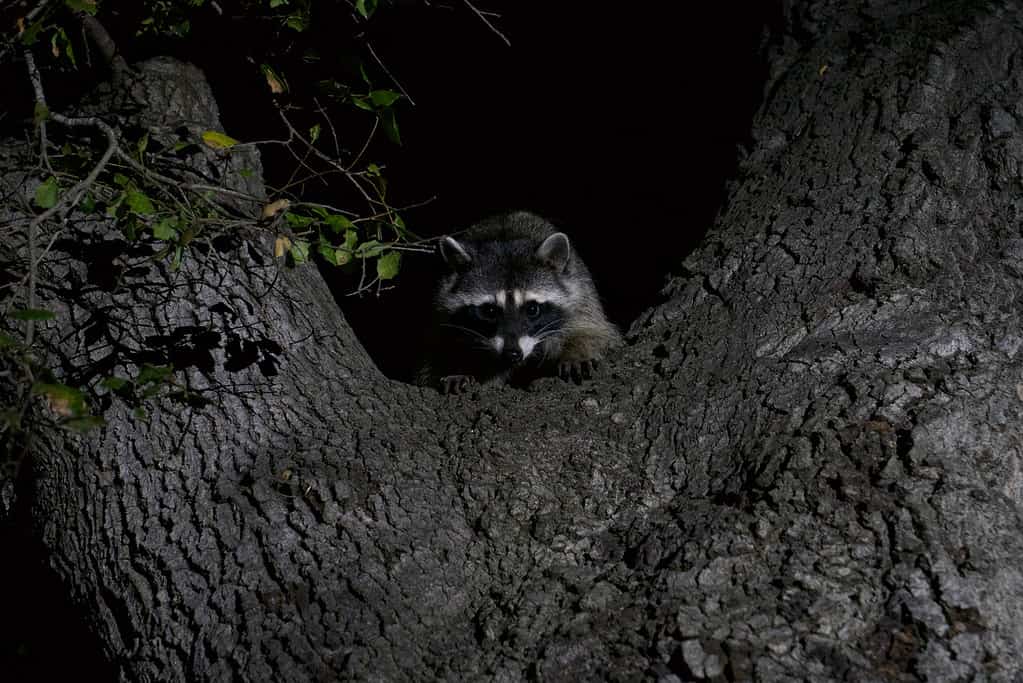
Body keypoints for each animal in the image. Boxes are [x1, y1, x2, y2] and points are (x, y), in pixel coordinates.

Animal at [417, 213, 621, 394]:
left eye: (532, 309)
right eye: (489, 311)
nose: (512, 354)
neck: (506, 239)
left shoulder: (579, 291)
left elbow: (592, 330)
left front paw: (577, 353)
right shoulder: (442, 309)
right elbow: (437, 350)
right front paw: (455, 369)